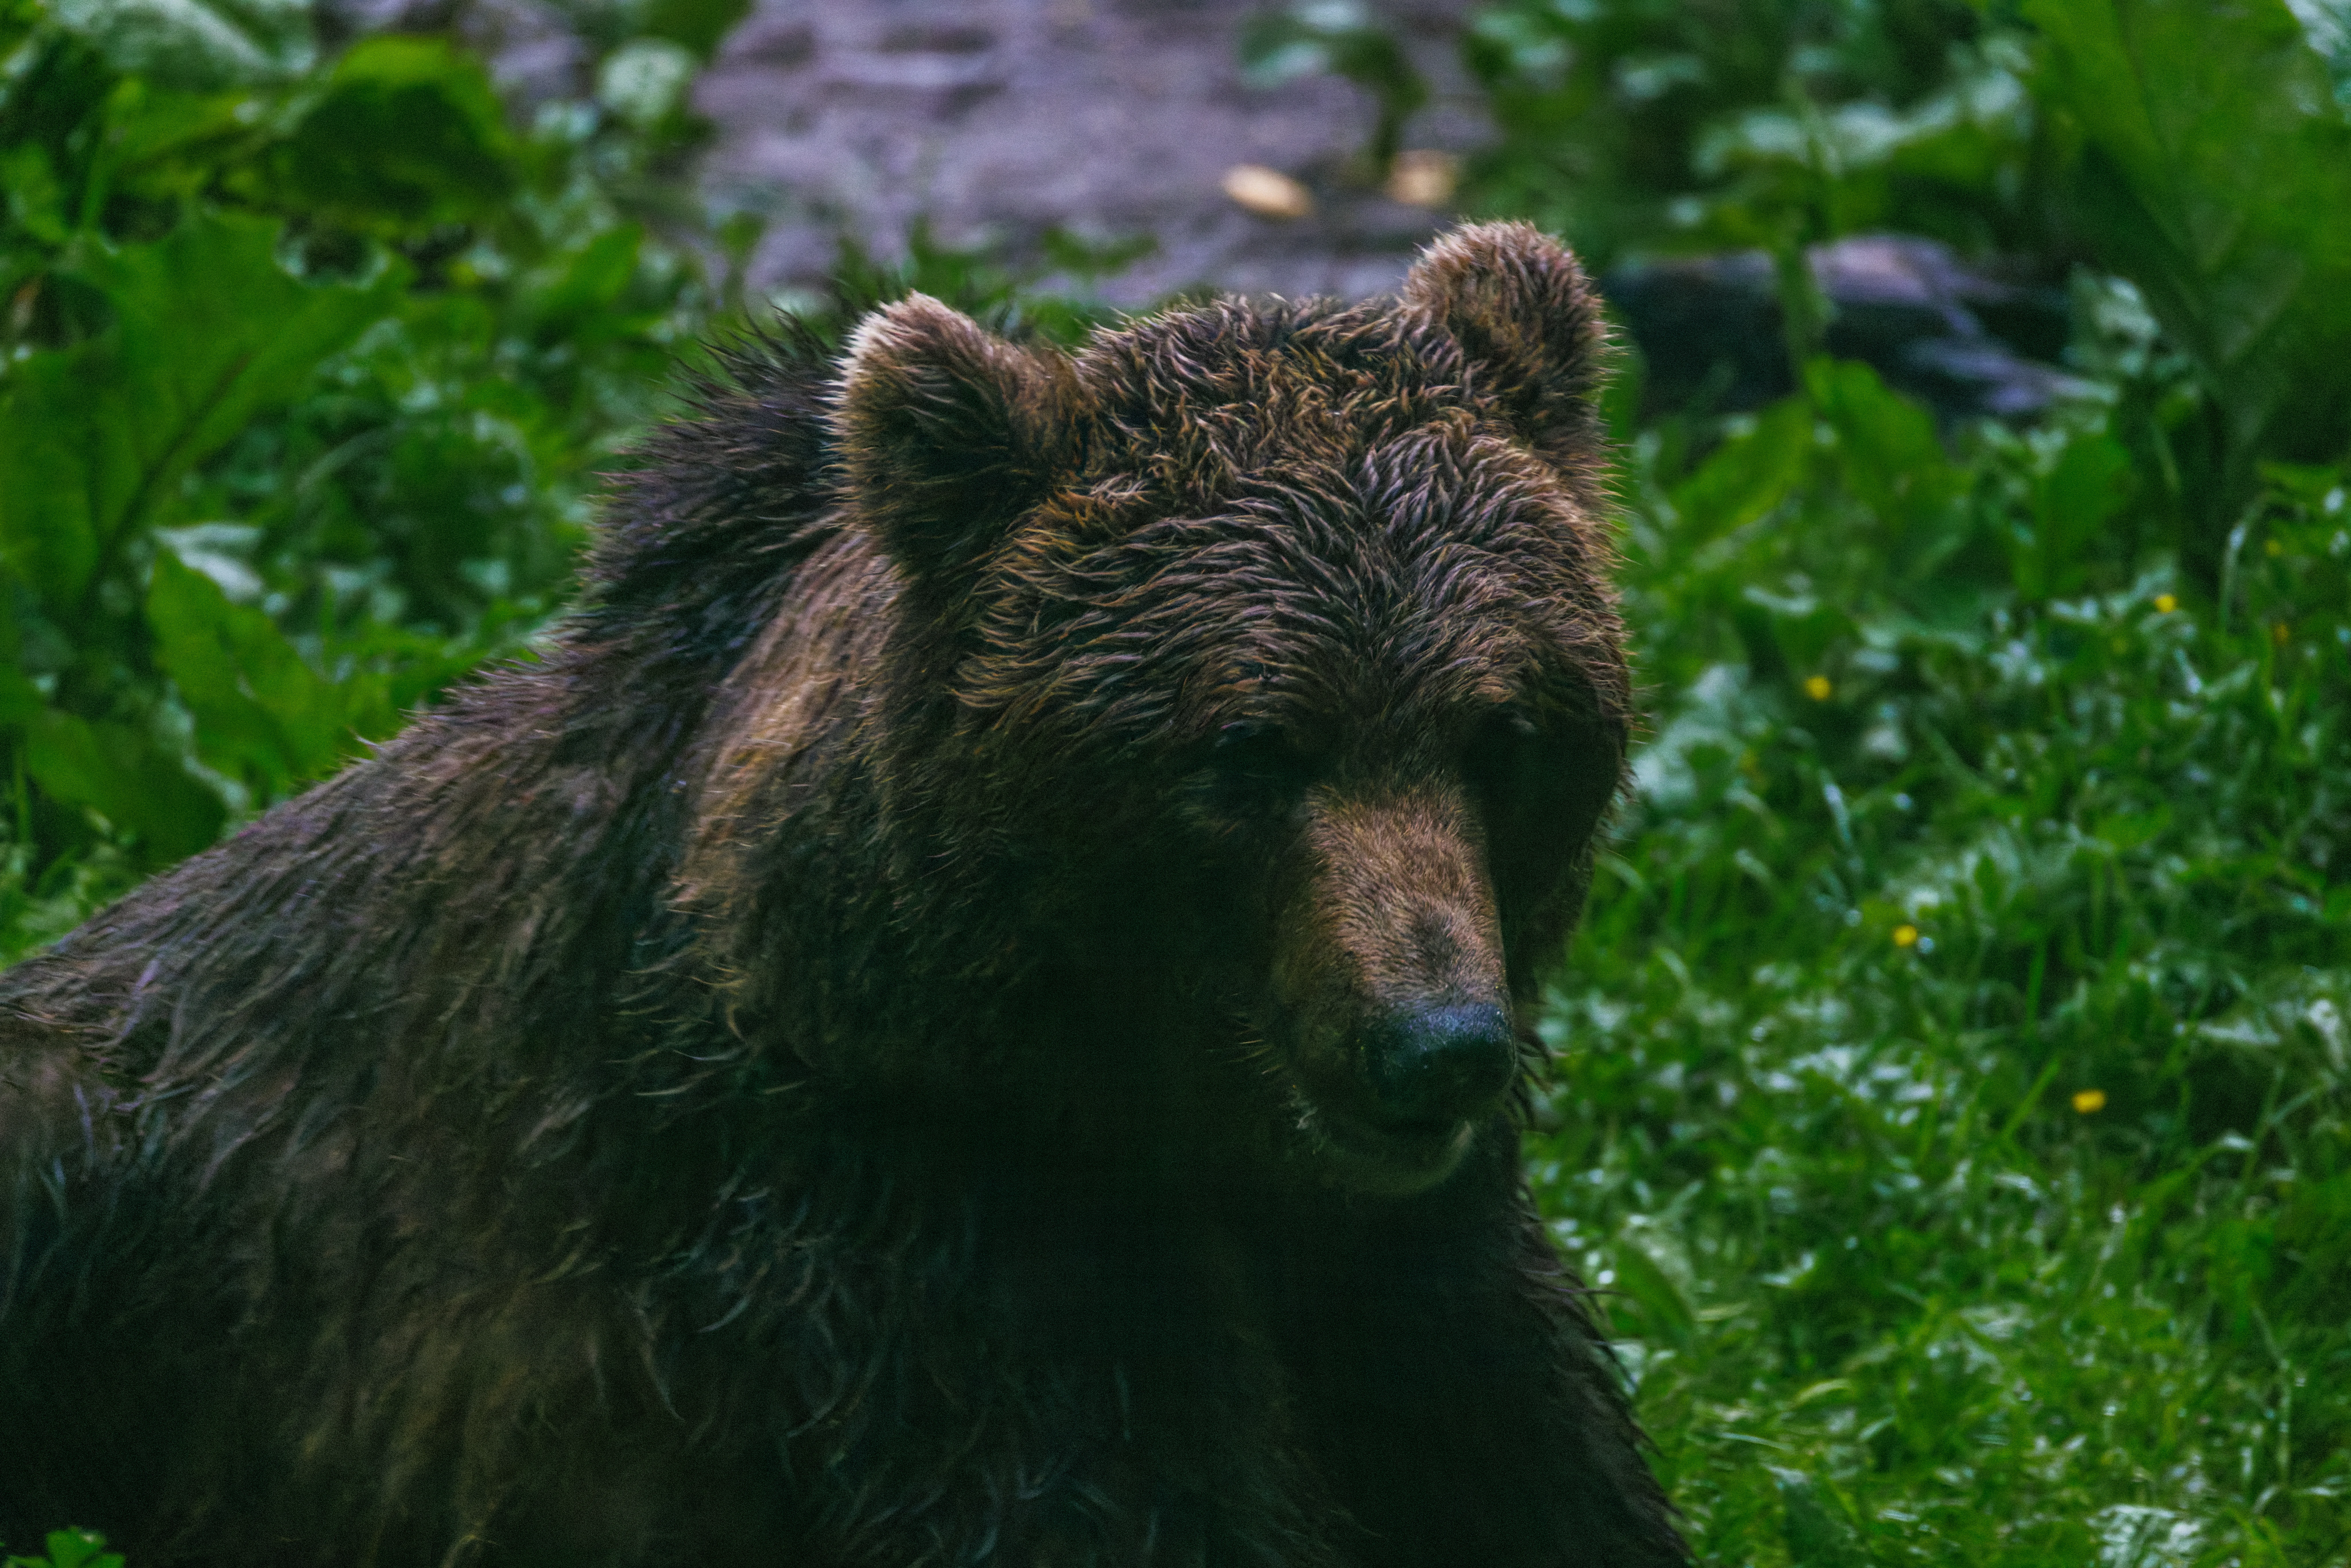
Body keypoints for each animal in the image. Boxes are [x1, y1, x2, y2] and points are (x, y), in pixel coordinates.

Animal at [0, 221, 1686, 1567]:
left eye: (1502, 732)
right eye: (1249, 752)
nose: (1435, 1045)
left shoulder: (1408, 1268)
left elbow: (1529, 1471)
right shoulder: (913, 1235)